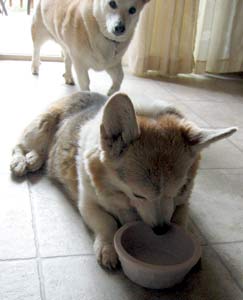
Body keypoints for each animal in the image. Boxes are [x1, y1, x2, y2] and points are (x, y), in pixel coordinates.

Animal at [10, 92, 236, 268]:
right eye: (138, 195)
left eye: (179, 189)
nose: (161, 230)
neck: (121, 196)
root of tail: (81, 92)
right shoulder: (88, 204)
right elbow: (107, 223)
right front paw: (108, 248)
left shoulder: (183, 202)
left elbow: (180, 219)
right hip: (41, 127)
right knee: (22, 145)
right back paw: (23, 161)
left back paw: (35, 159)